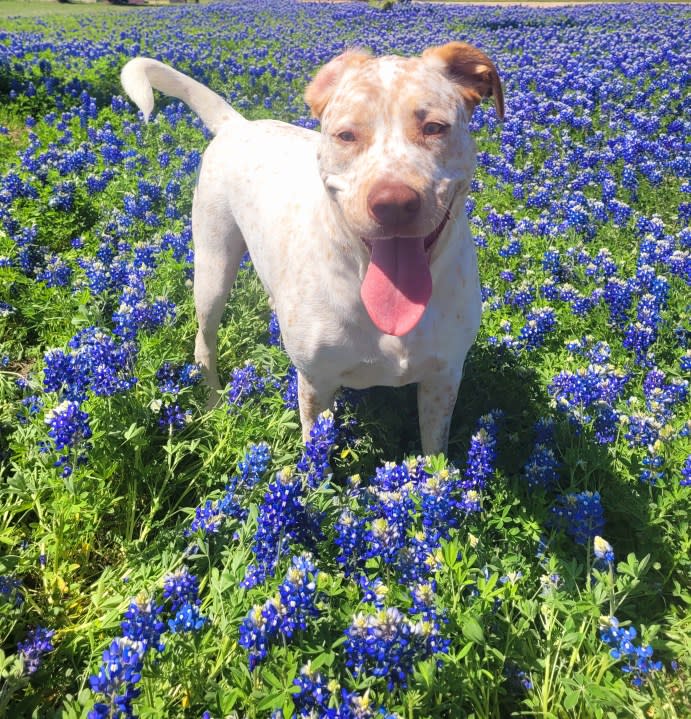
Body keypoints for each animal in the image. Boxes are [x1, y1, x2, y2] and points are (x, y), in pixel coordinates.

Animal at [121, 42, 506, 452]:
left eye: (434, 127)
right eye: (346, 135)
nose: (393, 202)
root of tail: (237, 125)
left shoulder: (443, 378)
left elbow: (435, 454)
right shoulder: (317, 384)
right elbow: (316, 452)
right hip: (213, 267)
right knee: (204, 342)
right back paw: (212, 402)